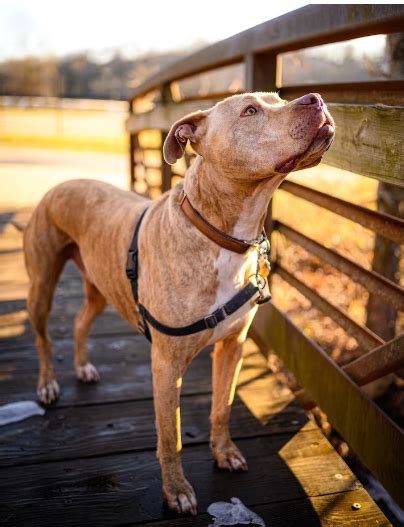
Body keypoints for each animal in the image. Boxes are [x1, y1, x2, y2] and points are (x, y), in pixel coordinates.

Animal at [23, 92, 336, 516]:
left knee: (79, 321)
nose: (316, 99)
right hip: (41, 286)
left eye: (279, 99)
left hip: (101, 286)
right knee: (42, 337)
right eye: (250, 111)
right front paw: (176, 491)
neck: (222, 235)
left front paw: (224, 453)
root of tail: (64, 183)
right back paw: (47, 385)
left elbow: (222, 406)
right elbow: (170, 434)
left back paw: (84, 367)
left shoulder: (232, 346)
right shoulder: (166, 365)